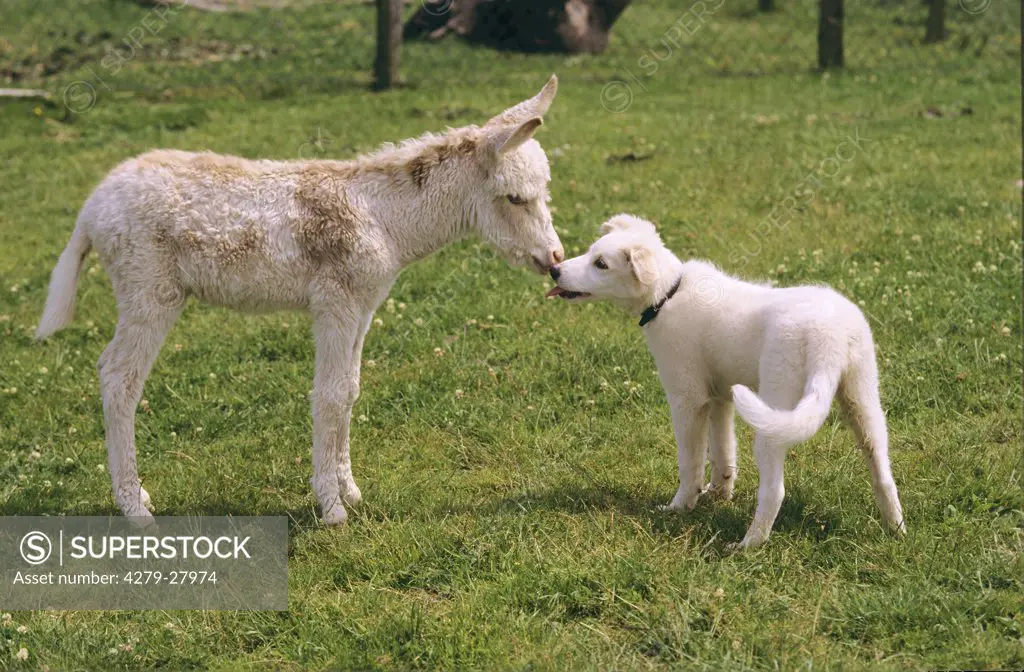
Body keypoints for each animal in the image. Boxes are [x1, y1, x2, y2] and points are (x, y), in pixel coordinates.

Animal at [39, 74, 565, 524]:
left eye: (544, 191)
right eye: (514, 198)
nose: (556, 259)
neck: (384, 219)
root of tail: (93, 204)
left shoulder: (363, 308)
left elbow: (350, 389)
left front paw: (350, 489)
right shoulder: (334, 305)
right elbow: (329, 395)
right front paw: (331, 508)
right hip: (150, 293)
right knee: (119, 378)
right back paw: (134, 507)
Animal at [548, 213, 909, 549]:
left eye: (601, 264)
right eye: (591, 252)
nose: (553, 270)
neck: (668, 293)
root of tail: (829, 336)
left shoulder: (688, 400)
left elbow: (690, 463)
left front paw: (681, 506)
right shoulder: (719, 398)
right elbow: (723, 451)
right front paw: (719, 494)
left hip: (777, 406)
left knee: (774, 490)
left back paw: (748, 544)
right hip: (863, 400)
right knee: (883, 473)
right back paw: (897, 530)